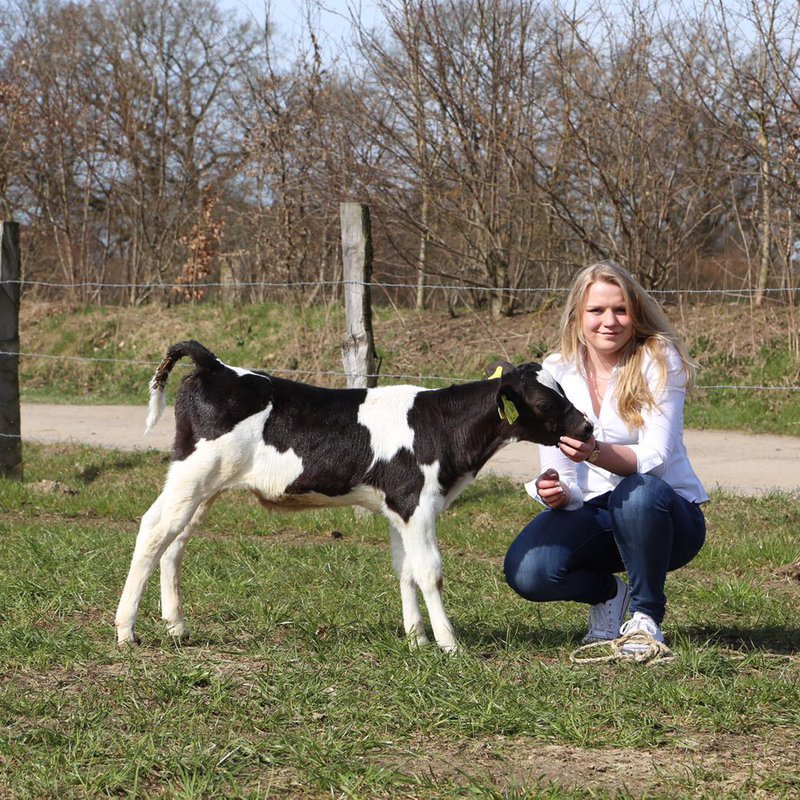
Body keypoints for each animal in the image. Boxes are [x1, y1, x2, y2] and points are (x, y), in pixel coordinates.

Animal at [117, 342, 592, 648]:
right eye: (546, 402)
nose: (587, 427)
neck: (440, 423)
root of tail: (217, 366)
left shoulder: (398, 508)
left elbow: (405, 569)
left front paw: (417, 639)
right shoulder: (417, 502)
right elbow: (429, 571)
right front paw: (449, 642)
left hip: (205, 487)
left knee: (176, 540)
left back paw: (177, 626)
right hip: (193, 474)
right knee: (154, 530)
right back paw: (126, 631)